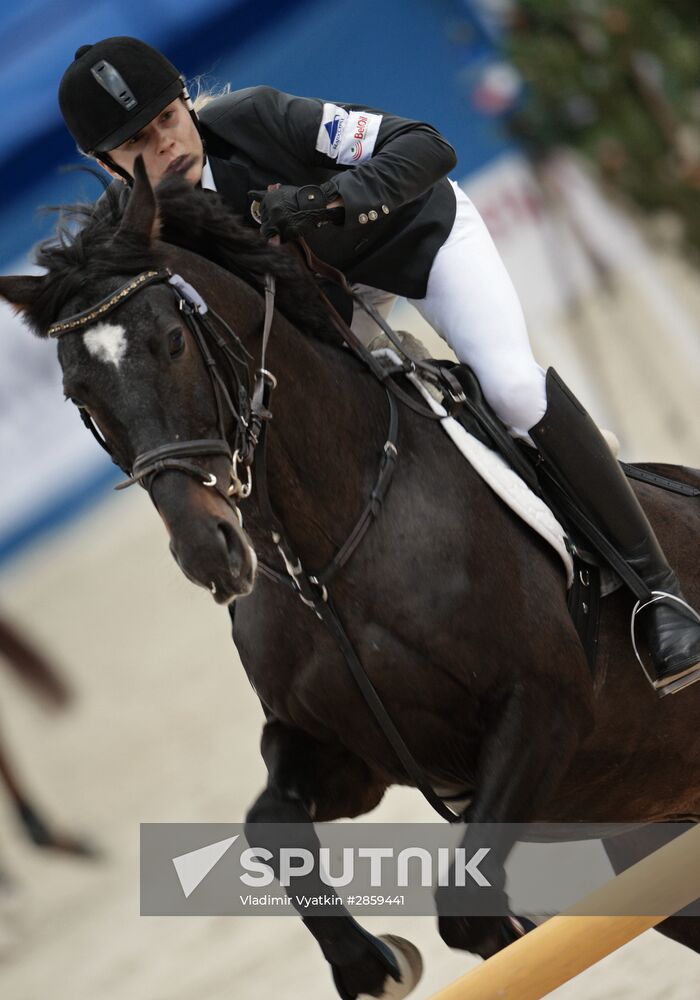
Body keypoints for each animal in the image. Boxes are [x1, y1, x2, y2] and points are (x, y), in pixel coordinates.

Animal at [2, 160, 696, 996]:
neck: (326, 560)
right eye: (82, 397)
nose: (207, 552)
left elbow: (464, 909)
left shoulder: (543, 711)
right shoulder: (352, 756)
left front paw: (490, 932)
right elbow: (268, 823)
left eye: (170, 341)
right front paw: (372, 960)